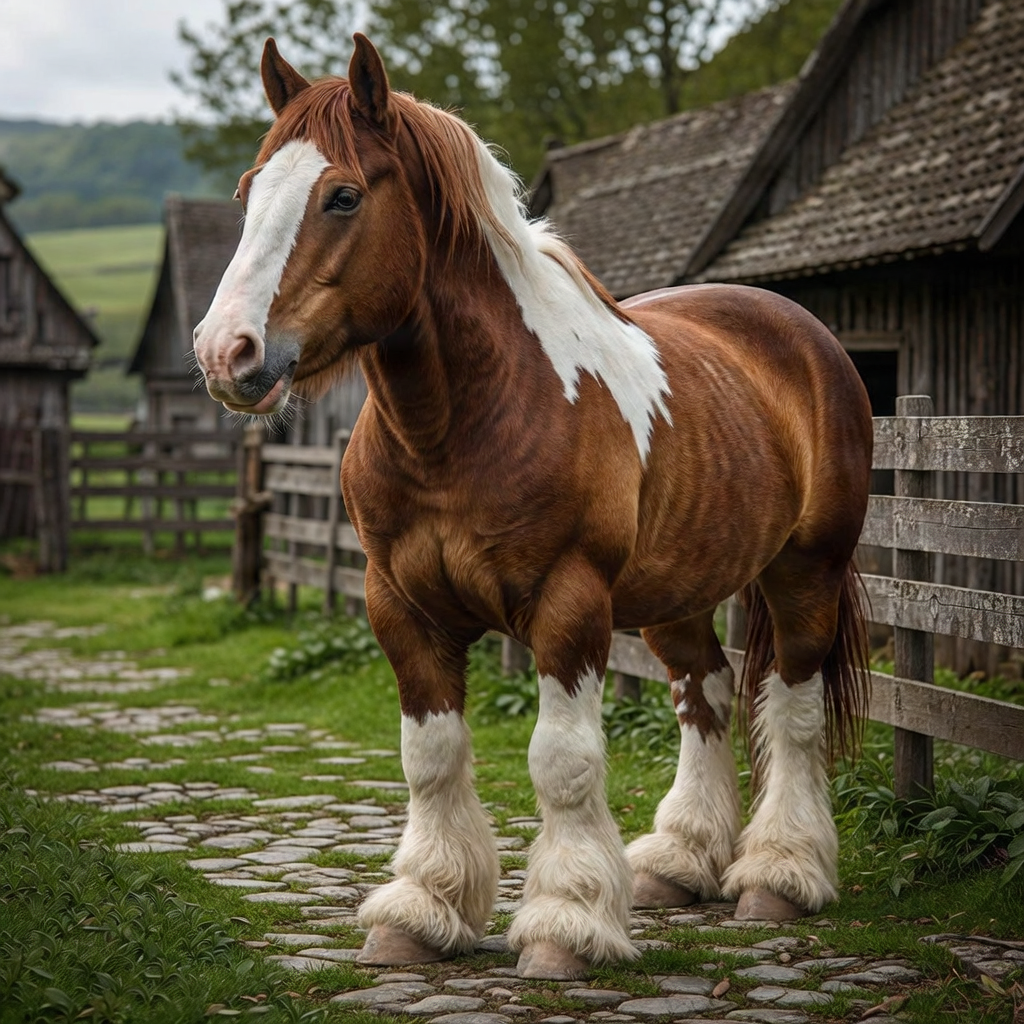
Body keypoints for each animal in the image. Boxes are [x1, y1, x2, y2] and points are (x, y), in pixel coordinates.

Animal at [193, 34, 873, 981]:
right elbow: (430, 756)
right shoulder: (400, 606)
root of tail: (805, 336)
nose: (227, 353)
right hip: (679, 592)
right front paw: (424, 909)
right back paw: (681, 861)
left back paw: (780, 872)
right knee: (705, 692)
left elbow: (563, 763)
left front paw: (567, 920)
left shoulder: (568, 603)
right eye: (250, 192)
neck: (464, 422)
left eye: (343, 195)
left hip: (807, 570)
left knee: (795, 707)